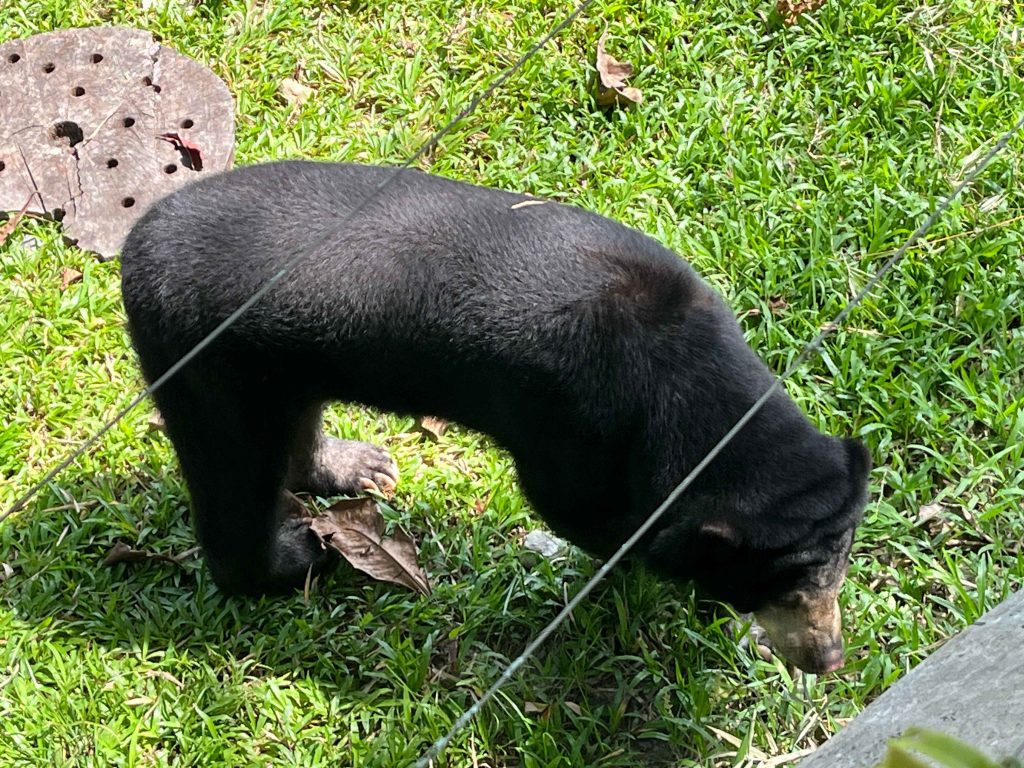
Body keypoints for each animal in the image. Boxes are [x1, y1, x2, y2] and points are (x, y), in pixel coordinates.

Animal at [119, 161, 871, 674]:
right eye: (782, 586)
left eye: (838, 569)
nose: (830, 658)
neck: (679, 363)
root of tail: (133, 246)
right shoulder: (574, 425)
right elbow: (588, 516)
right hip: (206, 362)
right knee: (234, 480)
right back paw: (296, 561)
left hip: (278, 362)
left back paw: (362, 468)